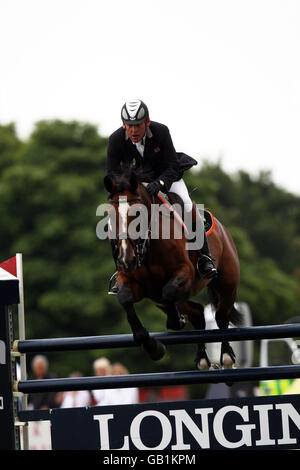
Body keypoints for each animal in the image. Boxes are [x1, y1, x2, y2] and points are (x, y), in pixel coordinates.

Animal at [103, 167, 241, 370]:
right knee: (198, 314)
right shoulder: (131, 281)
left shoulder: (185, 273)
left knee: (221, 317)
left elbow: (168, 292)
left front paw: (177, 321)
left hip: (227, 285)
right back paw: (202, 360)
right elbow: (126, 300)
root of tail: (222, 229)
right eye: (111, 217)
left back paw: (227, 358)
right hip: (172, 298)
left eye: (137, 215)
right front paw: (154, 348)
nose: (126, 260)